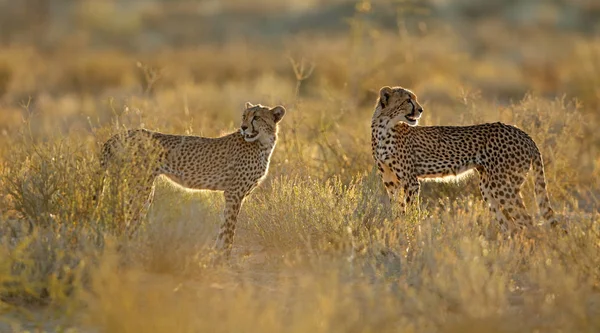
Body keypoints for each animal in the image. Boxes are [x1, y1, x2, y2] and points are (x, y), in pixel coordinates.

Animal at [98, 102, 286, 253]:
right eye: (244, 116)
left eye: (257, 117)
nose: (244, 127)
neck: (263, 143)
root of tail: (120, 134)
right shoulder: (234, 194)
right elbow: (229, 230)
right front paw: (223, 258)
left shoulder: (234, 194)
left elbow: (224, 227)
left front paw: (216, 255)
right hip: (139, 187)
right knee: (124, 218)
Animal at [370, 85, 556, 231]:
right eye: (408, 100)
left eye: (414, 99)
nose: (421, 110)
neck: (384, 127)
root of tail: (524, 134)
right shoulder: (390, 182)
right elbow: (397, 210)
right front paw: (398, 231)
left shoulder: (410, 181)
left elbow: (411, 212)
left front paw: (412, 234)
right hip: (489, 188)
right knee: (512, 227)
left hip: (503, 186)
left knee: (529, 224)